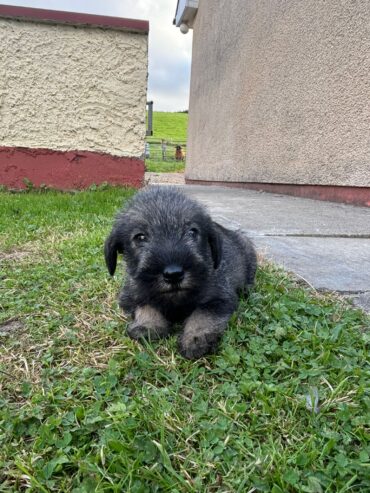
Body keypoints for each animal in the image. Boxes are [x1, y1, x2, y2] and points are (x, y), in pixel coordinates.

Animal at [102, 184, 256, 358]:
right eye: (140, 237)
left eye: (192, 231)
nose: (173, 274)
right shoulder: (130, 297)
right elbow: (146, 306)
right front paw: (148, 325)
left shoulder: (220, 299)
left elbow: (202, 315)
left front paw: (196, 338)